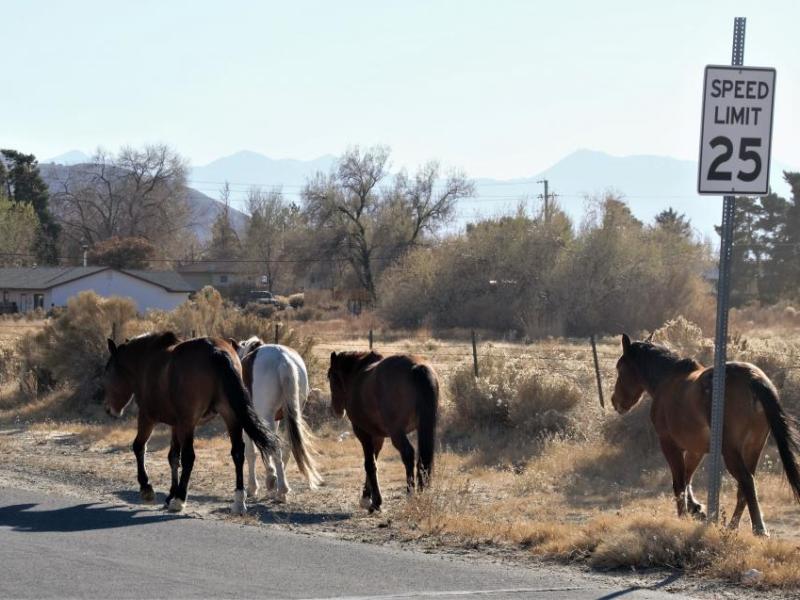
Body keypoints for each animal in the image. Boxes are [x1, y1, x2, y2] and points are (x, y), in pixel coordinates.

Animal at [103, 332, 280, 515]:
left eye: (108, 372)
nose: (108, 409)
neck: (146, 361)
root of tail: (215, 350)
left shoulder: (148, 417)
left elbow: (139, 447)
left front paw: (147, 488)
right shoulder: (176, 424)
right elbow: (173, 457)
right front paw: (170, 494)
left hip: (189, 422)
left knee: (189, 456)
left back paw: (180, 499)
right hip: (229, 415)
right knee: (237, 453)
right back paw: (238, 501)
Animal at [234, 336, 321, 500]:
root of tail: (283, 359)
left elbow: (251, 452)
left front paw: (254, 487)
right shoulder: (275, 421)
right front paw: (272, 479)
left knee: (275, 447)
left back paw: (279, 487)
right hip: (290, 416)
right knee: (286, 448)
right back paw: (281, 489)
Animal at [327, 351, 439, 512]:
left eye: (330, 376)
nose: (336, 410)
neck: (357, 374)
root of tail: (417, 367)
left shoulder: (363, 433)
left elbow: (369, 464)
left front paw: (374, 502)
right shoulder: (377, 436)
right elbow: (374, 460)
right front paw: (368, 497)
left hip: (396, 432)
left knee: (408, 454)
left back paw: (410, 494)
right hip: (423, 428)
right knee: (422, 461)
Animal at [611, 333, 800, 536]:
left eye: (620, 368)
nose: (615, 401)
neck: (667, 380)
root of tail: (753, 378)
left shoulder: (669, 444)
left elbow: (679, 483)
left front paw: (683, 517)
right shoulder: (696, 449)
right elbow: (687, 477)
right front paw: (696, 509)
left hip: (731, 451)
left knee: (746, 481)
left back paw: (758, 529)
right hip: (754, 448)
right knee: (744, 487)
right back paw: (732, 527)